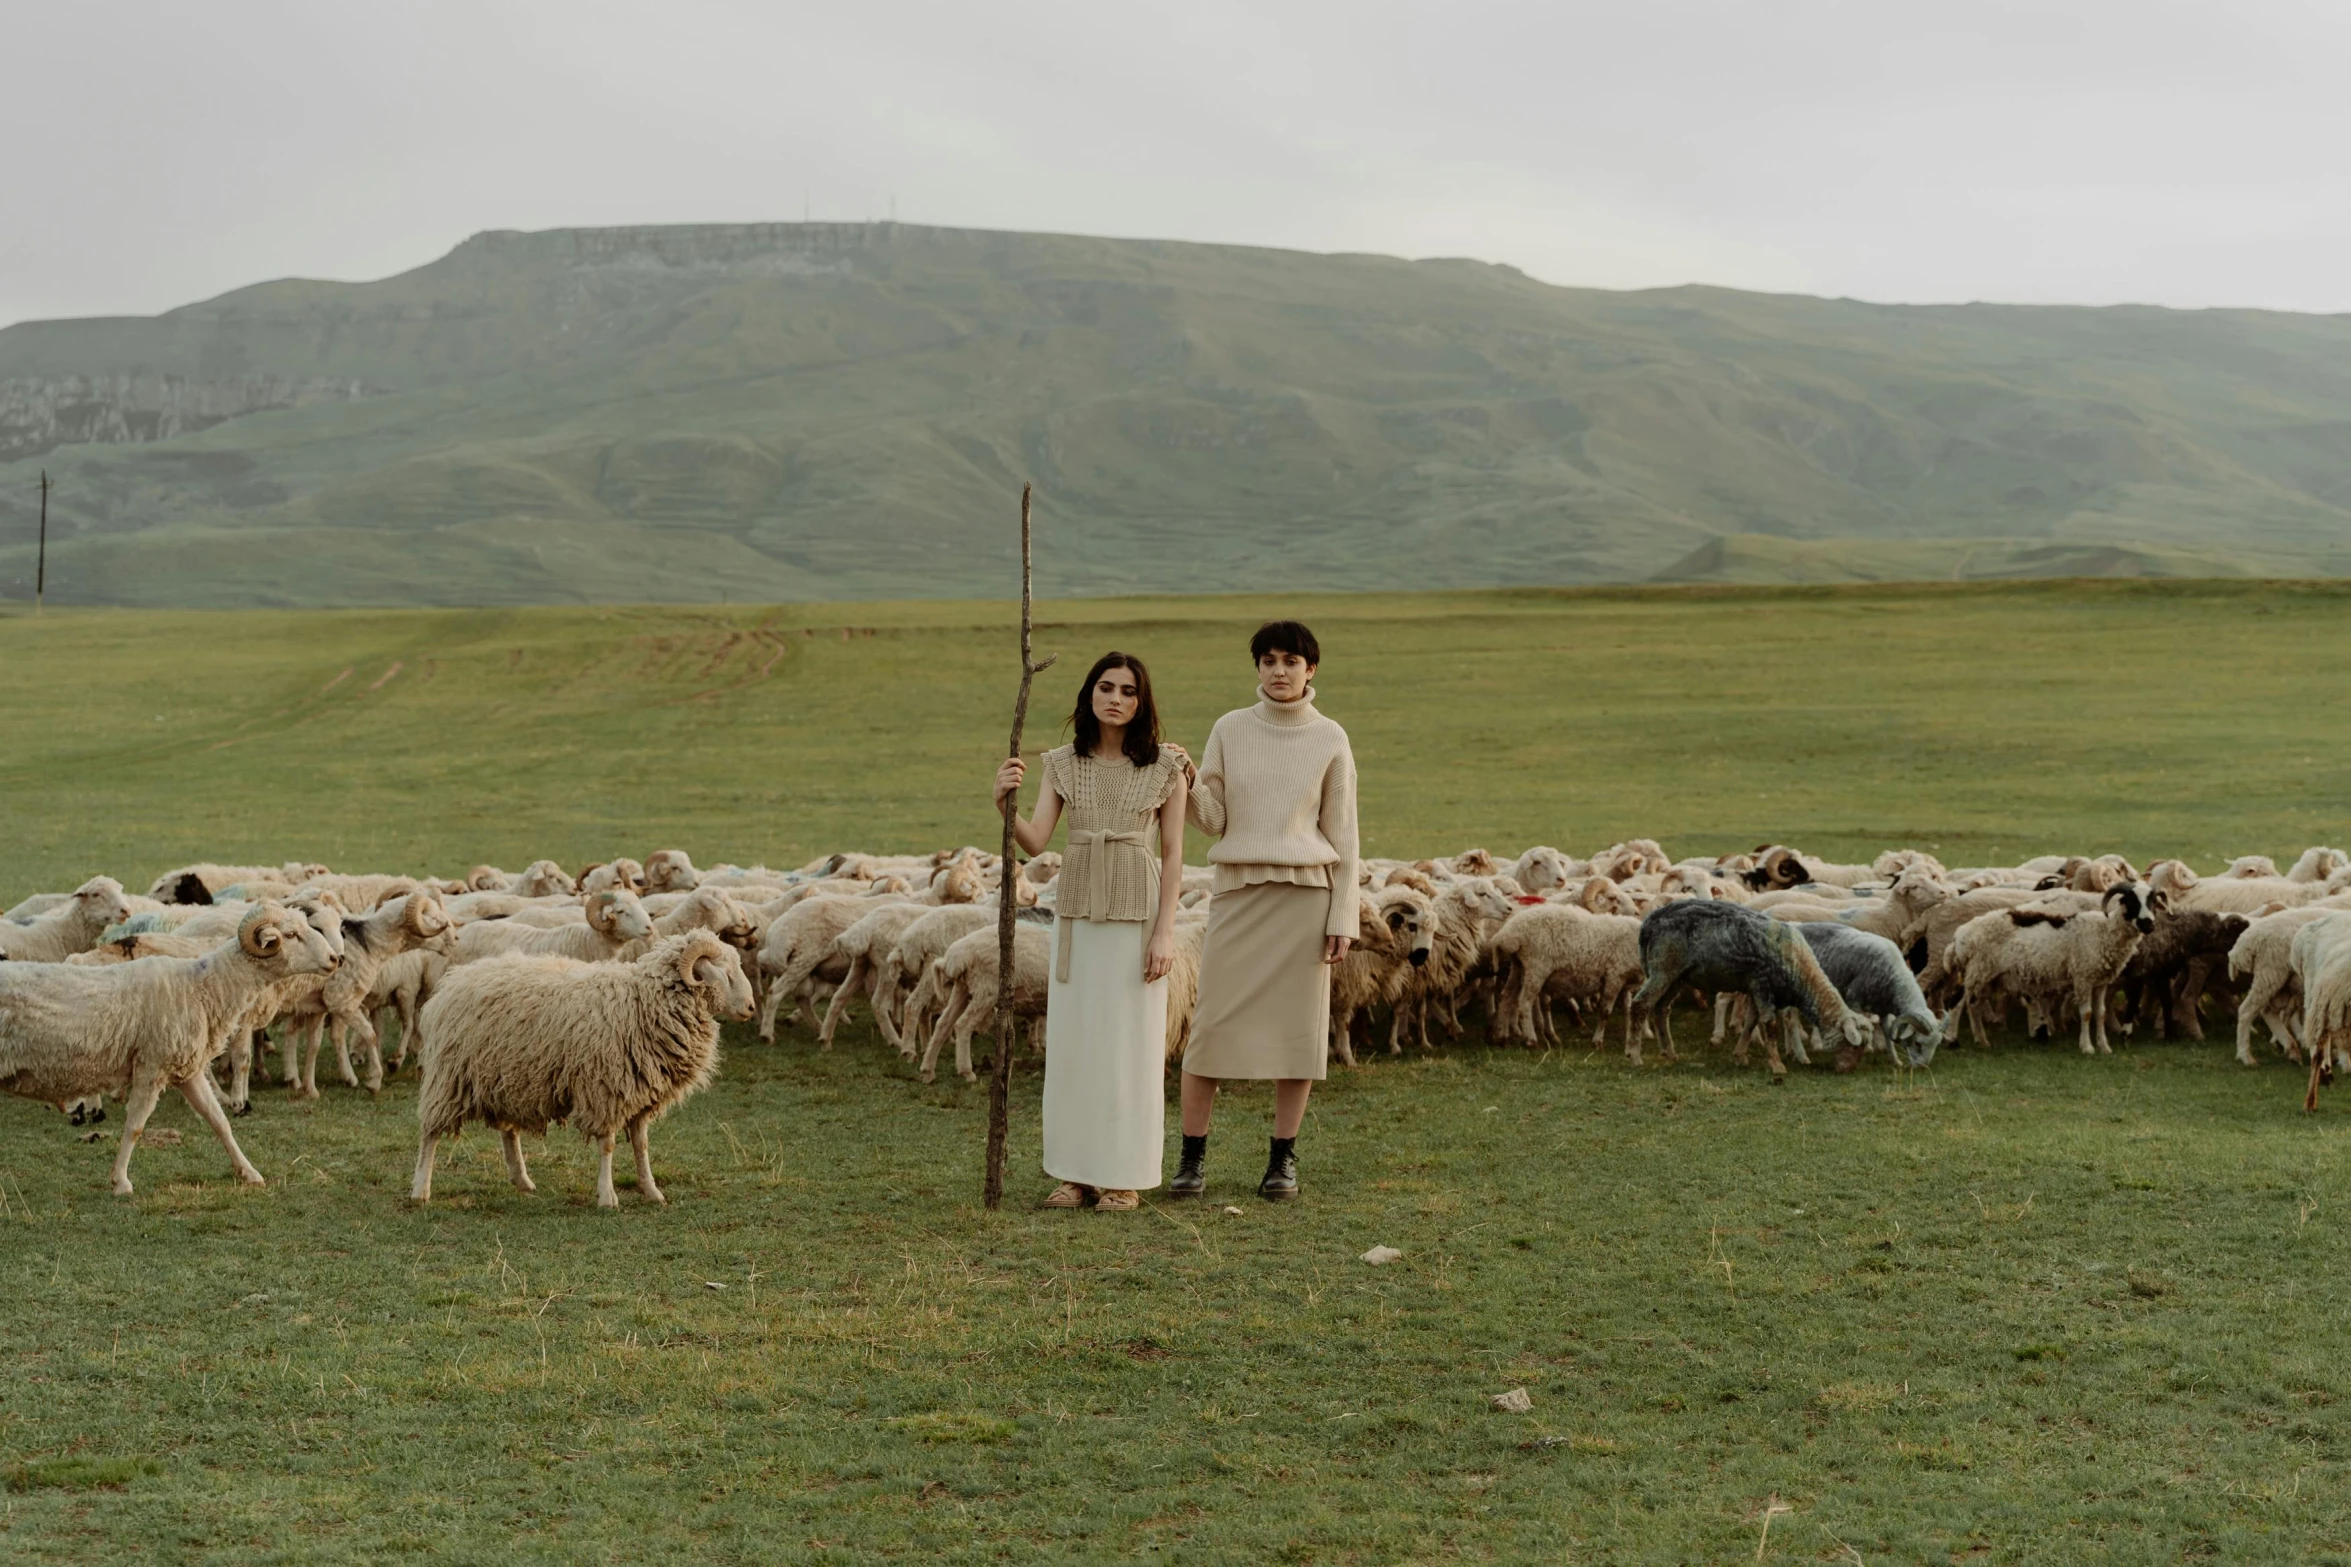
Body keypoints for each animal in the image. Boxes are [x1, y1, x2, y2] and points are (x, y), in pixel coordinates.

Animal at [413, 930, 752, 1212]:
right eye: (725, 974)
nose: (750, 1008)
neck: (643, 1001)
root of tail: (452, 982)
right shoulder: (605, 1090)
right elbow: (608, 1146)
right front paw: (607, 1197)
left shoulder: (640, 1093)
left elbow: (641, 1146)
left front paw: (652, 1192)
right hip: (450, 1077)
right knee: (430, 1133)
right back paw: (421, 1190)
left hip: (505, 1077)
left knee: (508, 1130)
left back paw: (522, 1180)